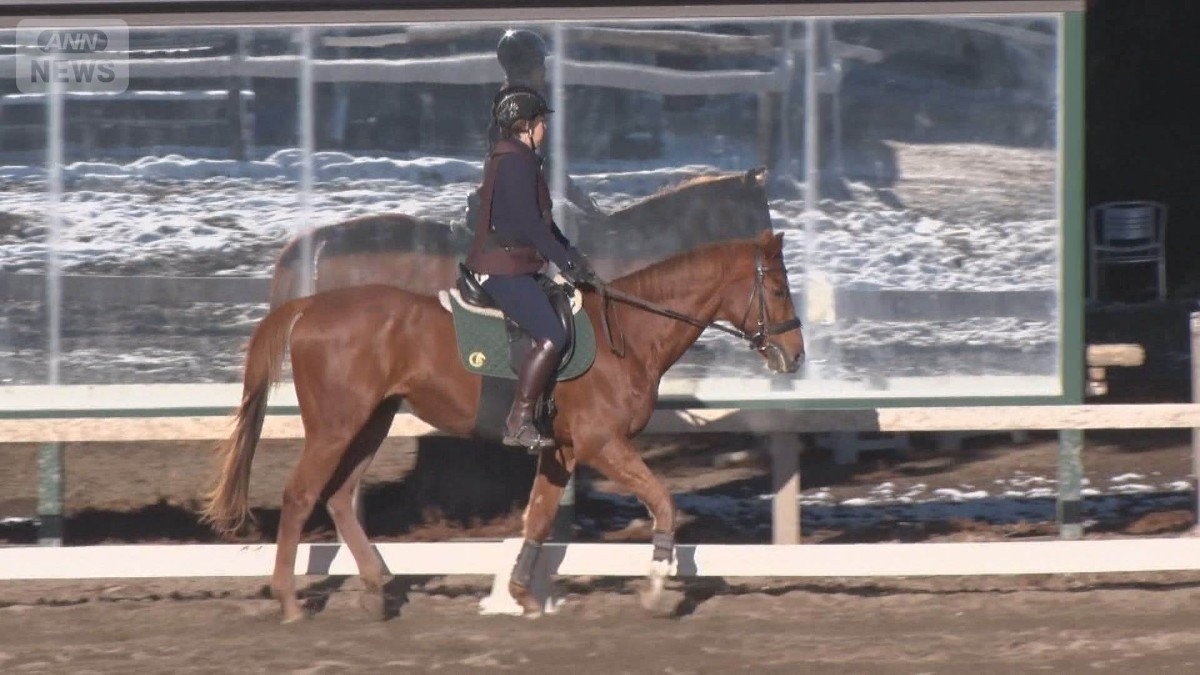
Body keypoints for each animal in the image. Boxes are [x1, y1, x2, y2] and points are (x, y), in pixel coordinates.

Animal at [205, 229, 804, 623]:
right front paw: (657, 586)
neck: (630, 335)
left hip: (372, 421)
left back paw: (378, 587)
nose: (794, 356)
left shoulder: (562, 451)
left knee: (338, 496)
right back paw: (289, 601)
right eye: (777, 290)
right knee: (302, 494)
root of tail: (311, 306)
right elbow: (663, 502)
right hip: (336, 425)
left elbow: (538, 517)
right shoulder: (602, 445)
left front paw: (520, 594)